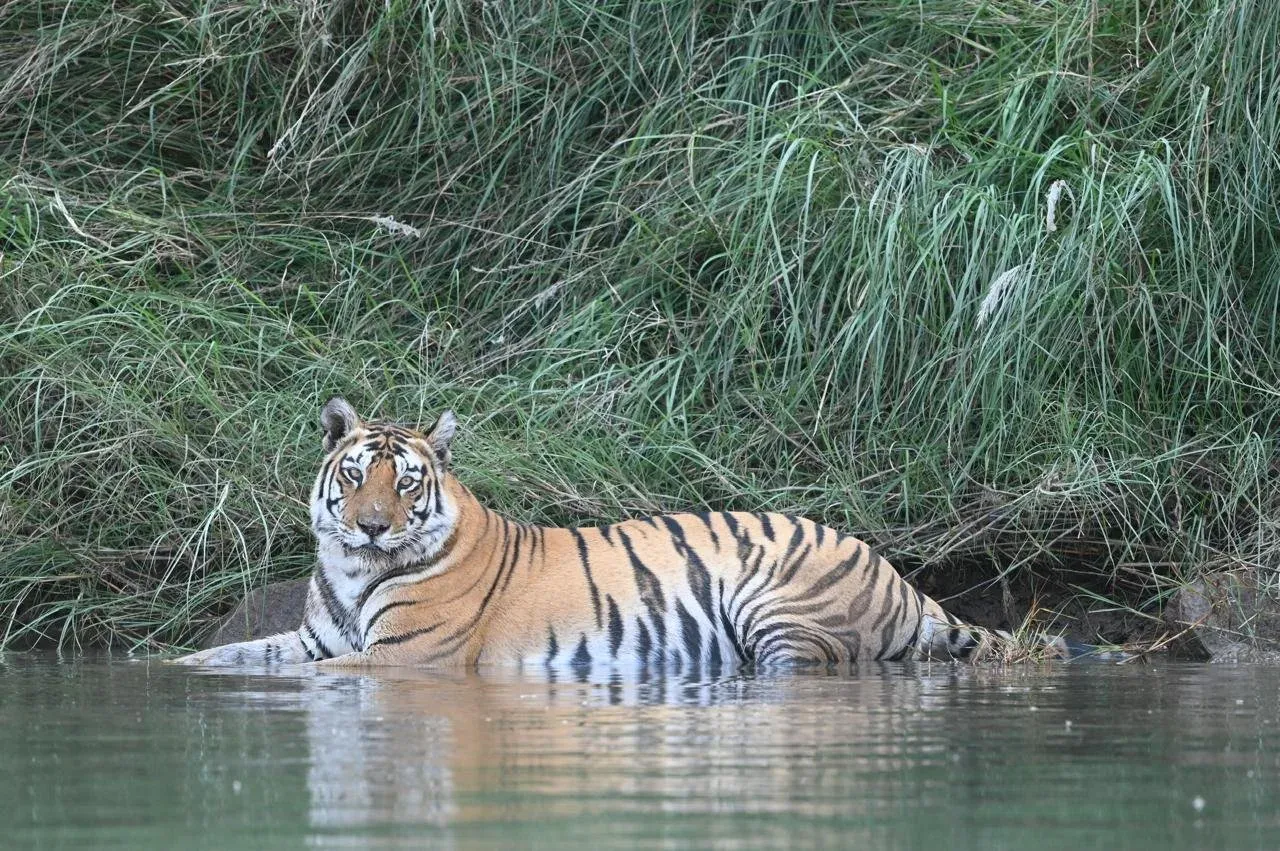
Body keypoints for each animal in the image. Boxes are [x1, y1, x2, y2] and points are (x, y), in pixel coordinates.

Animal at [176, 397, 1073, 670]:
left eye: (407, 484)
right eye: (357, 474)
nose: (369, 526)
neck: (353, 570)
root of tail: (895, 572)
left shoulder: (404, 659)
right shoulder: (317, 640)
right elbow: (236, 656)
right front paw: (174, 668)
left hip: (779, 609)